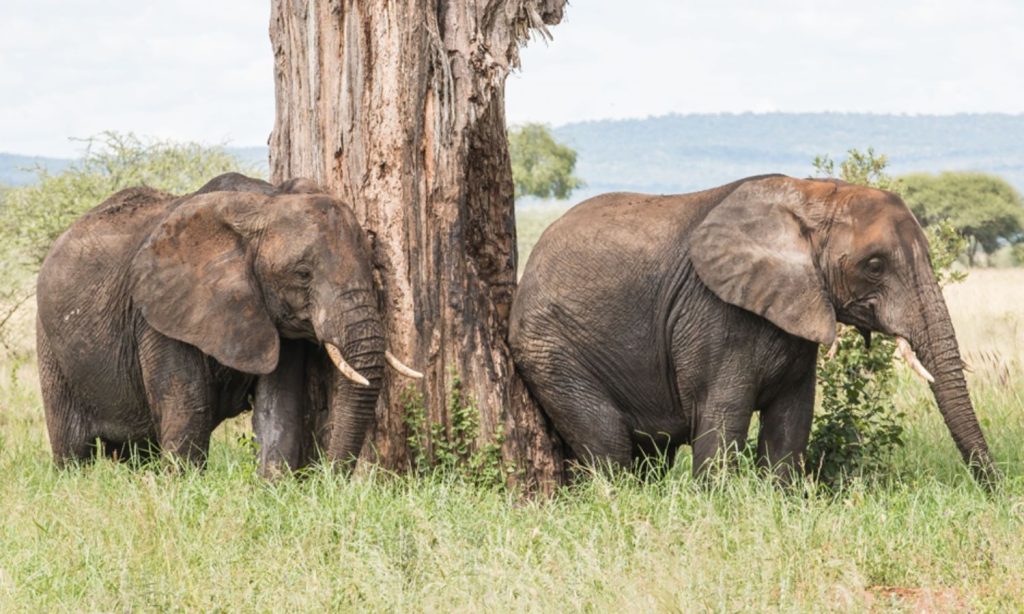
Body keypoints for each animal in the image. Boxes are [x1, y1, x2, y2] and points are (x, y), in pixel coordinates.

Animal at [36, 172, 419, 474]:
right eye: (302, 274)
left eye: (375, 266)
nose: (328, 481)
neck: (263, 203)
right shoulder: (159, 314)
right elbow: (188, 406)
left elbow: (279, 407)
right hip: (49, 341)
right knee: (71, 445)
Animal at [512, 172, 999, 485]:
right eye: (875, 265)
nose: (995, 491)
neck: (813, 196)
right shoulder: (714, 315)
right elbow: (723, 419)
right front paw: (719, 505)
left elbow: (792, 422)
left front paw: (777, 500)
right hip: (551, 350)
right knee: (609, 445)